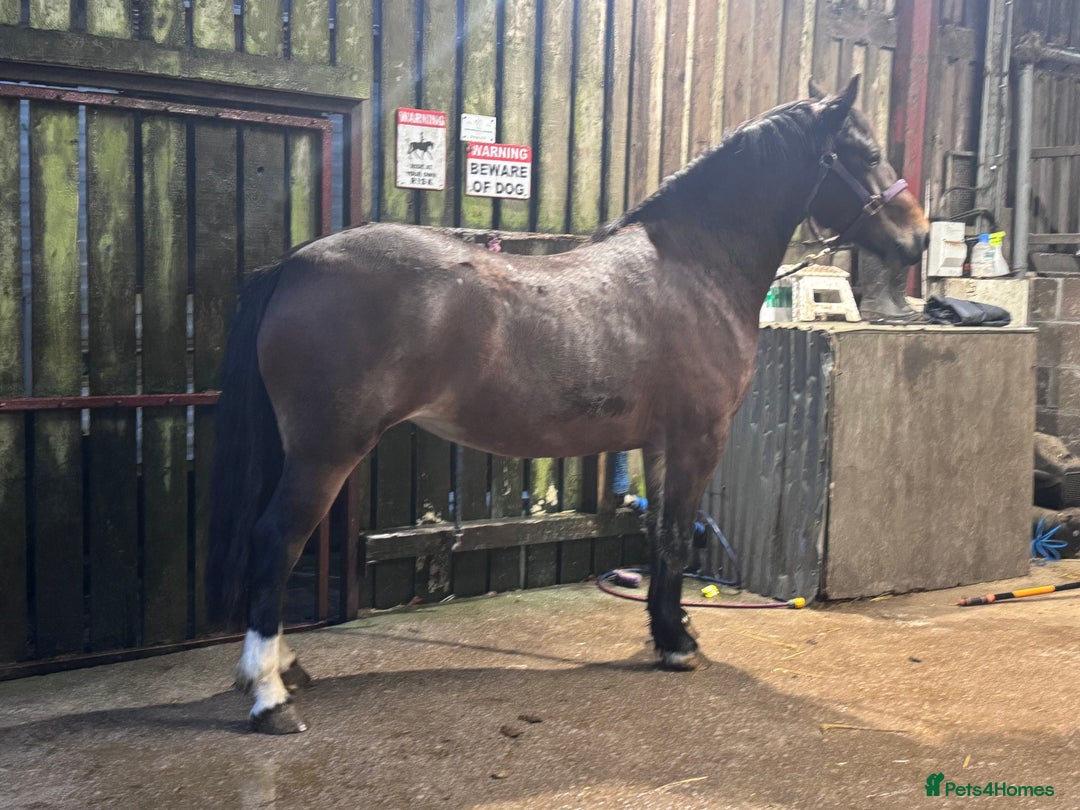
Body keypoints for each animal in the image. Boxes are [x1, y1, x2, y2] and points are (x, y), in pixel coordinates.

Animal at [207, 76, 929, 734]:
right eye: (865, 152)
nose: (919, 239)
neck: (695, 269)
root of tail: (294, 264)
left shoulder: (658, 442)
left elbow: (660, 535)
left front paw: (670, 630)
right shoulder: (698, 437)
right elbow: (675, 535)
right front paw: (677, 645)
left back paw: (284, 669)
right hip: (326, 451)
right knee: (277, 540)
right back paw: (270, 697)